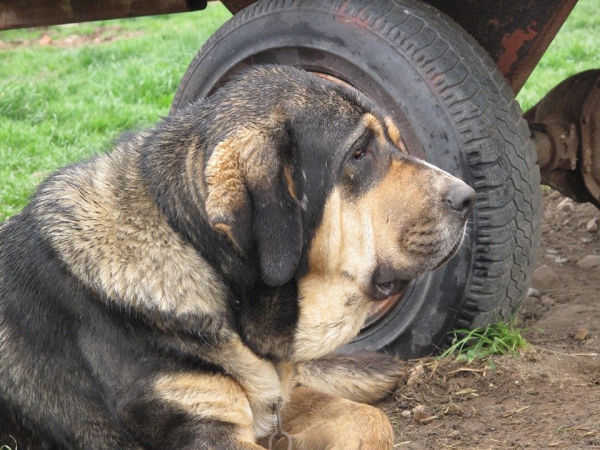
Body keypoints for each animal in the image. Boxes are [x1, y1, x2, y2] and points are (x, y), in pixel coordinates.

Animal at [0, 64, 474, 450]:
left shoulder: (278, 401)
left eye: (394, 143)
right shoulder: (206, 425)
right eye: (359, 153)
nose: (468, 198)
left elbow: (369, 419)